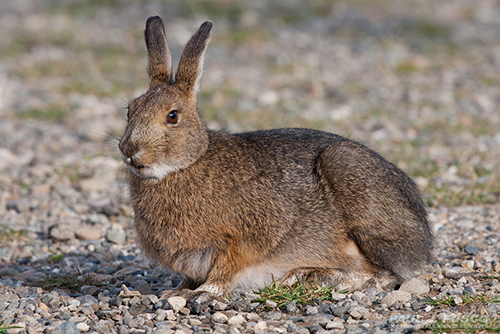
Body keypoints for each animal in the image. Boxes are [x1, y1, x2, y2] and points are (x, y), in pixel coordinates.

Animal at [118, 15, 434, 300]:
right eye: (130, 110)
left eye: (172, 116)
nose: (129, 149)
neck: (186, 164)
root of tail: (423, 236)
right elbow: (190, 277)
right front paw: (176, 291)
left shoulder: (244, 238)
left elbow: (226, 268)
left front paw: (207, 292)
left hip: (352, 181)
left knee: (380, 273)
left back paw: (303, 278)